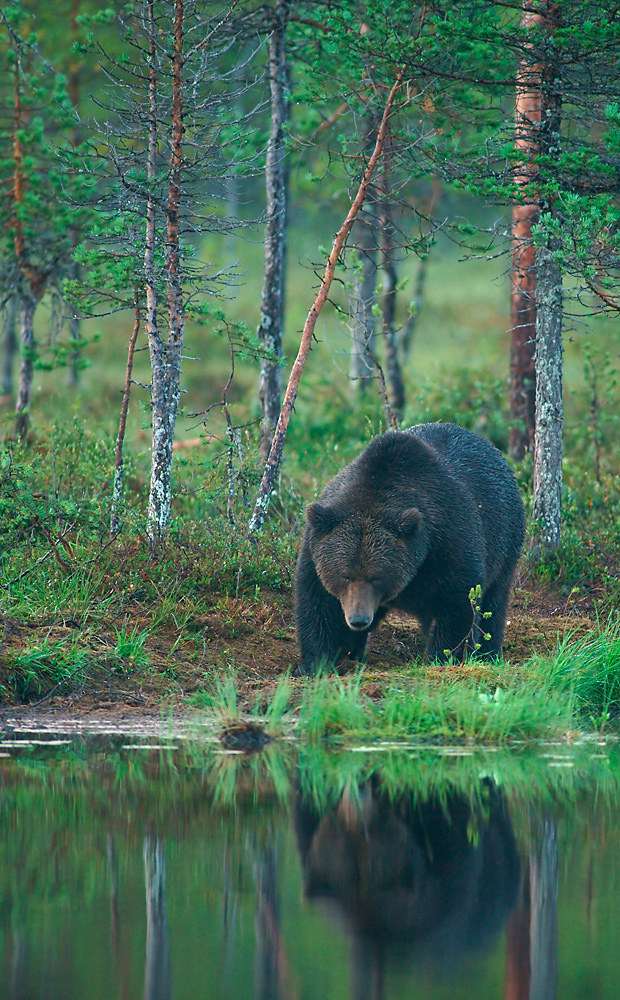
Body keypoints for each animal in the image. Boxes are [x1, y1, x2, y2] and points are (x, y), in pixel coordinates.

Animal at [294, 422, 524, 672]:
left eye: (376, 577)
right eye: (346, 576)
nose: (358, 619)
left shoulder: (448, 543)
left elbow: (457, 604)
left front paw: (445, 656)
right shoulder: (316, 548)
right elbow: (319, 604)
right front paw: (316, 662)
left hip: (505, 538)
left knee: (494, 602)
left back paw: (488, 654)